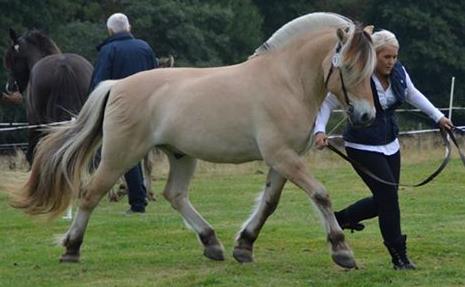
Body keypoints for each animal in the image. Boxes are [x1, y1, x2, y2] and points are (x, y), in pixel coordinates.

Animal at [10, 12, 376, 270]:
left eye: (371, 69)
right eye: (347, 67)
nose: (366, 115)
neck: (285, 81)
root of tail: (116, 85)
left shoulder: (283, 159)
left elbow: (270, 203)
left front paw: (244, 246)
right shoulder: (282, 156)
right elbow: (321, 194)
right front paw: (341, 250)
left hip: (181, 155)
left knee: (174, 194)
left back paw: (211, 241)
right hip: (120, 155)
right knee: (90, 194)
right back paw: (71, 249)